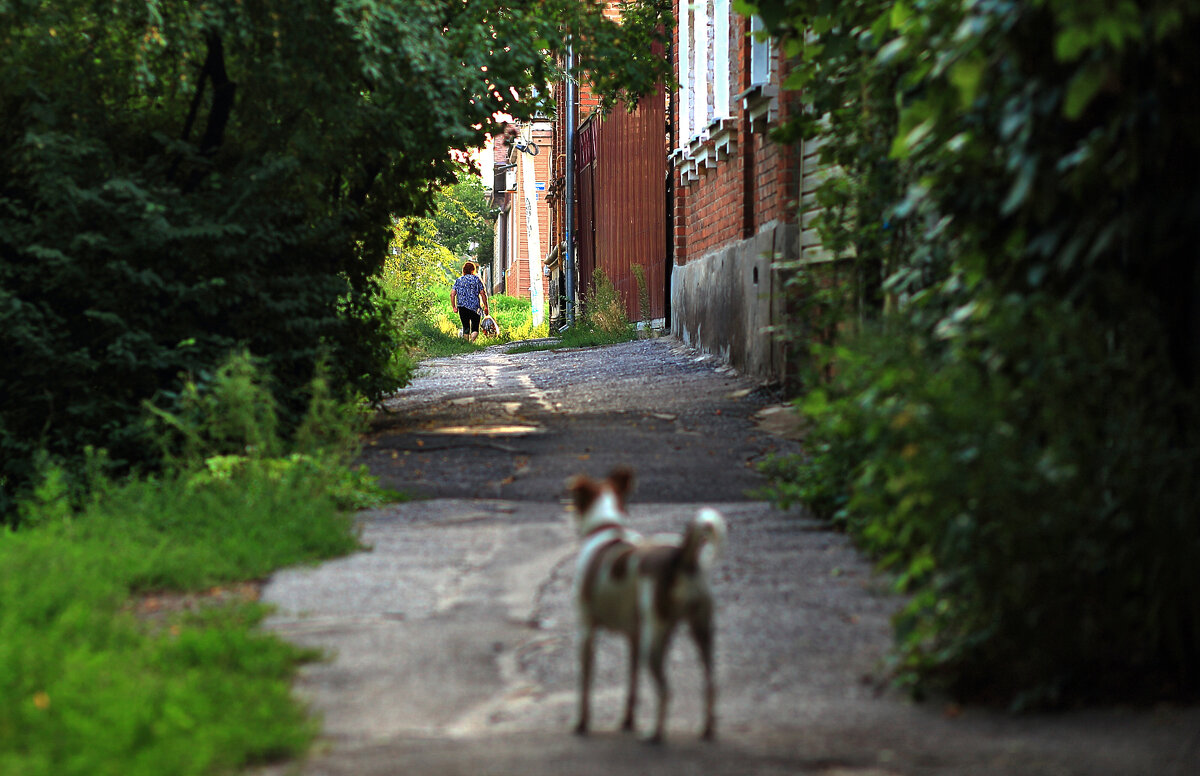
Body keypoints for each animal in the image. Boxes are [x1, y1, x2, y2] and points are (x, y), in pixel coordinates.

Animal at [566, 465, 724, 743]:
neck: (606, 527)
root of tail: (681, 558)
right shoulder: (634, 637)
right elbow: (632, 684)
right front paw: (627, 720)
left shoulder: (586, 632)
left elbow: (585, 685)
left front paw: (581, 723)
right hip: (701, 632)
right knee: (710, 682)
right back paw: (705, 729)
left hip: (655, 641)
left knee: (665, 690)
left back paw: (654, 734)